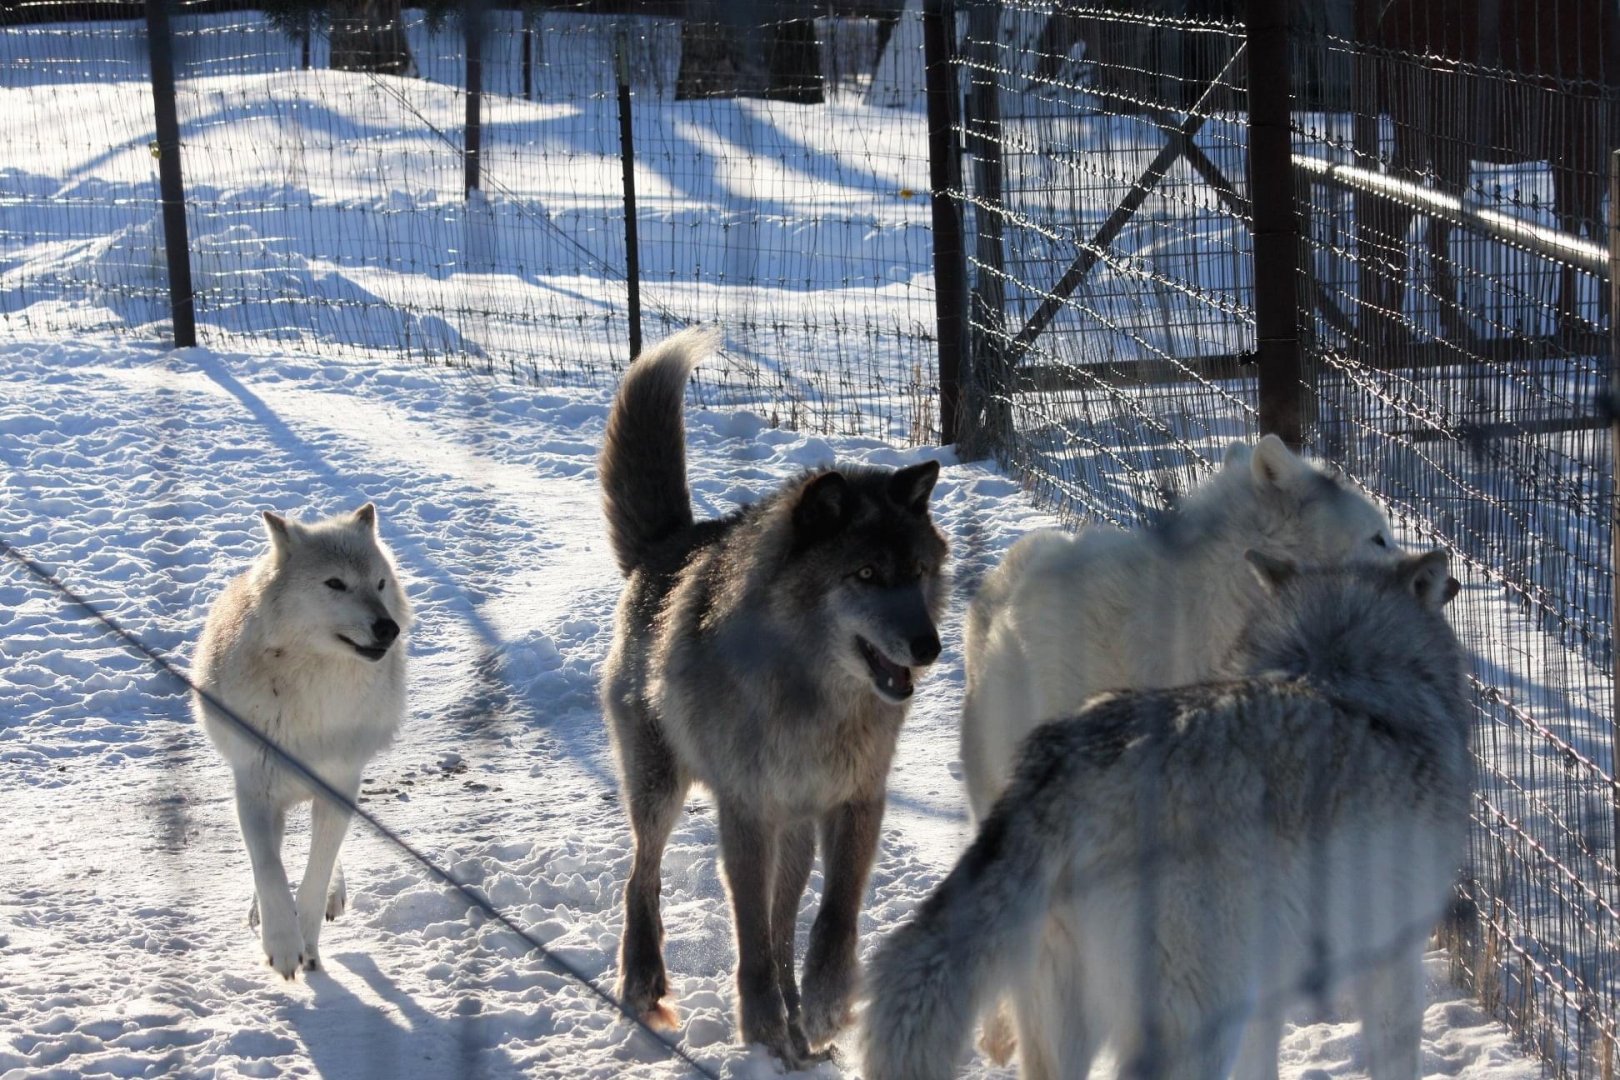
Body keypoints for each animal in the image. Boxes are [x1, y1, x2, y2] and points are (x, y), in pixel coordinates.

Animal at [193, 503, 411, 979]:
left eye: (379, 584)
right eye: (335, 583)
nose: (388, 629)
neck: (315, 690)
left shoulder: (339, 784)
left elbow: (316, 870)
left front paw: (306, 943)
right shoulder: (253, 788)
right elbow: (268, 867)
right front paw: (281, 942)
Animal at [599, 328, 949, 1066]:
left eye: (918, 572)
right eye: (865, 574)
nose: (929, 647)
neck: (814, 699)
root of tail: (668, 542)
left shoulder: (856, 802)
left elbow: (833, 918)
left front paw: (823, 1006)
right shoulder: (747, 812)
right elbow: (751, 936)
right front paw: (759, 1022)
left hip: (796, 835)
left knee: (786, 922)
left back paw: (798, 1033)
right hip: (661, 788)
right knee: (642, 877)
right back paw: (646, 984)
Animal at [864, 550, 1470, 1080]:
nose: (1457, 583)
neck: (1338, 663)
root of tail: (1067, 764)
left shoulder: (1267, 992)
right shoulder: (1392, 962)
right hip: (1194, 1023)